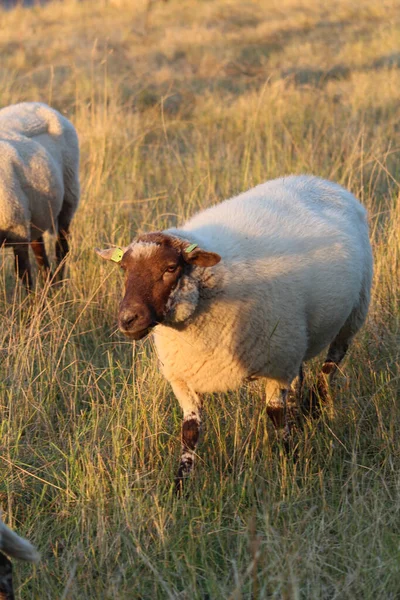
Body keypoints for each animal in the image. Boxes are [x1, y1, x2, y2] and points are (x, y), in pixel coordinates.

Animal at [0, 102, 80, 290]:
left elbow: (23, 272)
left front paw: (32, 298)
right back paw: (49, 285)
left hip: (68, 197)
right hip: (39, 212)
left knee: (61, 247)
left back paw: (58, 285)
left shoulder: (18, 229)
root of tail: (37, 104)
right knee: (40, 251)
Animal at [95, 175, 374, 492]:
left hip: (352, 315)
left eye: (170, 267)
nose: (128, 319)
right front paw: (180, 487)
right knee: (300, 378)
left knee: (330, 367)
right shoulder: (184, 378)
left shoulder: (277, 364)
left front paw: (290, 461)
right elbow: (189, 432)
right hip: (298, 340)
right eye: (124, 269)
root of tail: (320, 180)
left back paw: (316, 406)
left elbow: (276, 416)